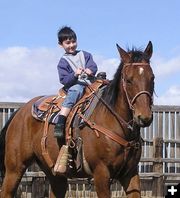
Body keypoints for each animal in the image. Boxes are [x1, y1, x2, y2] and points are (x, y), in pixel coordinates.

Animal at [0, 41, 155, 197]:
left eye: (152, 78)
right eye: (128, 80)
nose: (144, 117)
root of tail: (20, 112)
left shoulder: (130, 174)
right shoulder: (101, 173)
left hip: (55, 174)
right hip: (15, 169)